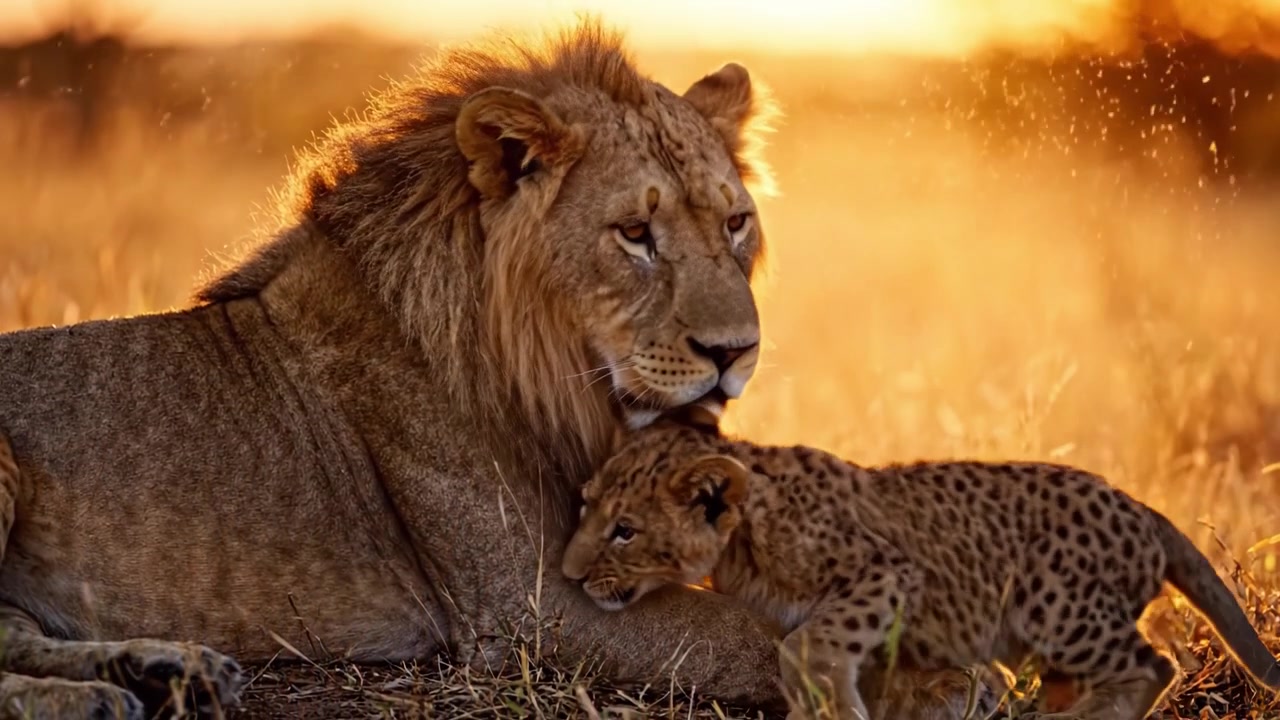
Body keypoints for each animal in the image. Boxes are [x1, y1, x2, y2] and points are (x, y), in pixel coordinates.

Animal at [0, 20, 992, 719]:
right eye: (635, 233)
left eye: (735, 222)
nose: (734, 353)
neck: (559, 378)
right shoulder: (530, 604)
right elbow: (739, 631)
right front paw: (935, 682)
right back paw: (110, 694)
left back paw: (165, 670)